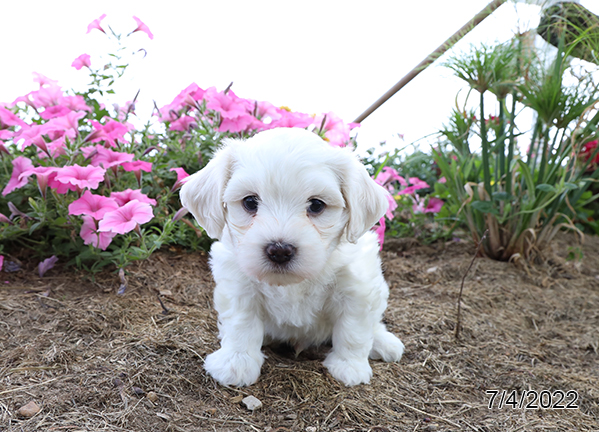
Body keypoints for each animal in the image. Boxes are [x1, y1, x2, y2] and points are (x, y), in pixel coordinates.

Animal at [180, 126, 406, 386]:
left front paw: (349, 366)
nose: (279, 250)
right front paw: (236, 362)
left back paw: (382, 342)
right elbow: (241, 323)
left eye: (316, 205)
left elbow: (353, 329)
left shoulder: (357, 288)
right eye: (250, 201)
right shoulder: (238, 284)